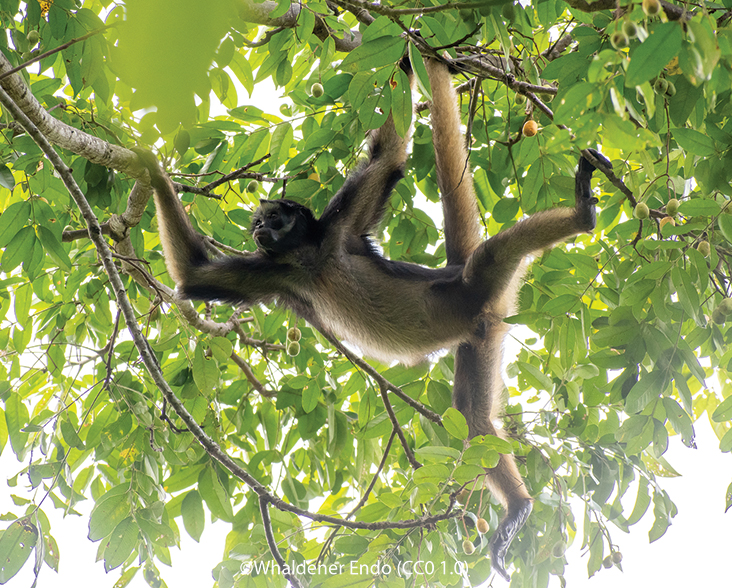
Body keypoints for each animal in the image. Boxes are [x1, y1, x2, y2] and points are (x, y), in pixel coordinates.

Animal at [136, 57, 608, 580]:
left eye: (273, 218)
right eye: (258, 223)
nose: (258, 228)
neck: (310, 258)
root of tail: (456, 279)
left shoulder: (338, 227)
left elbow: (389, 157)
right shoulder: (277, 272)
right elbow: (195, 277)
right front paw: (150, 167)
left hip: (473, 291)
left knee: (490, 258)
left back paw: (581, 214)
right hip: (480, 334)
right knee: (472, 417)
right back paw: (518, 507)